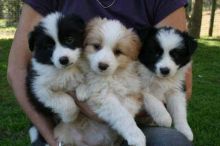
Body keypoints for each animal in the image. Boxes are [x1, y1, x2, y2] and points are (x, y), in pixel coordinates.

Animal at [26, 12, 85, 145]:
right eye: (49, 46)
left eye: (70, 39)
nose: (64, 60)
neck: (65, 70)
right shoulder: (38, 88)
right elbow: (64, 100)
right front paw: (69, 117)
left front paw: (82, 91)